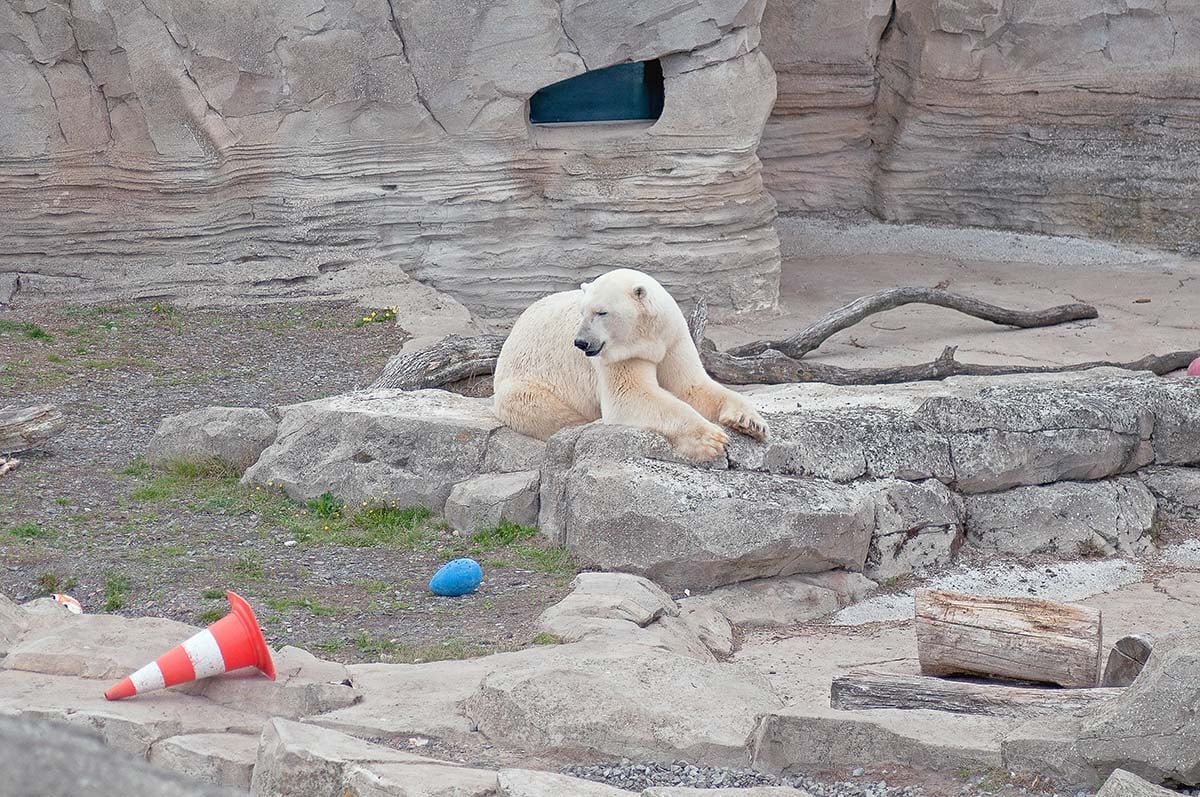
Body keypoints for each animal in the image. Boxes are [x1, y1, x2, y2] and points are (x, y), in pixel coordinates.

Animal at [494, 268, 768, 460]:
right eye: (583, 312)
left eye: (601, 312)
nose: (581, 342)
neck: (647, 338)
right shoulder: (620, 355)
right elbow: (630, 395)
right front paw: (712, 439)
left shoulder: (673, 338)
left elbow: (691, 385)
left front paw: (751, 422)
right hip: (524, 382)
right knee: (541, 407)